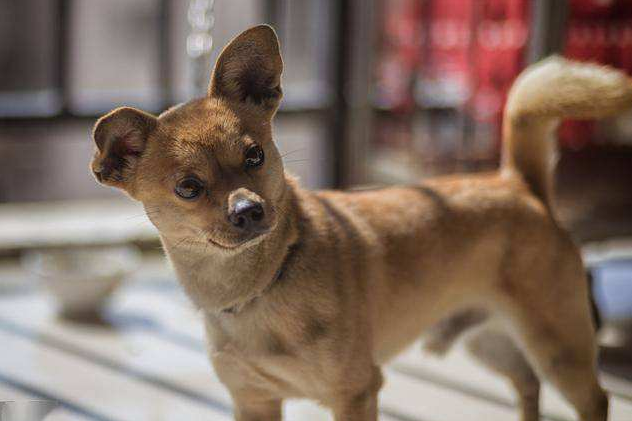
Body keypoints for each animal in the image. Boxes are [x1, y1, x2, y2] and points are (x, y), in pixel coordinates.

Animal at [90, 24, 632, 418]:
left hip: (559, 346)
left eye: (255, 156)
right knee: (526, 385)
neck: (258, 286)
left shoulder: (354, 394)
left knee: (593, 399)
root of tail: (519, 182)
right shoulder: (255, 402)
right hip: (491, 340)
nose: (249, 210)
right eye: (188, 188)